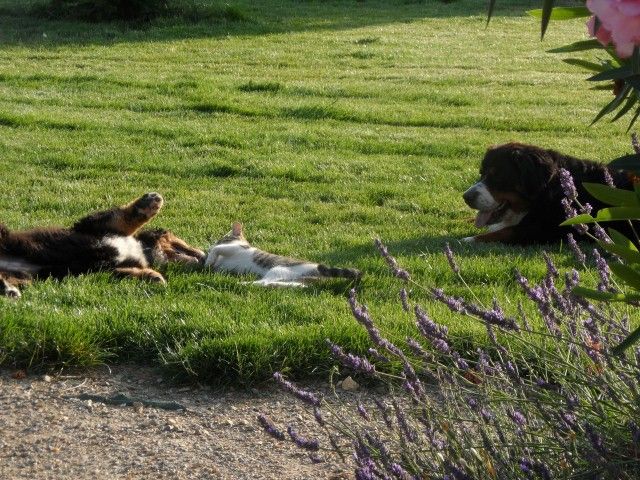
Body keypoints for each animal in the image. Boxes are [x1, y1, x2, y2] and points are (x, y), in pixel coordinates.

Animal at [0, 191, 204, 296]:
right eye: (179, 241)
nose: (203, 255)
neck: (142, 249)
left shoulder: (109, 269)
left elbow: (130, 271)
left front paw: (154, 276)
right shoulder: (95, 225)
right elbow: (125, 217)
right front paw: (149, 203)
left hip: (26, 277)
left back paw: (8, 289)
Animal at [208, 223, 362, 286]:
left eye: (221, 239)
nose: (212, 244)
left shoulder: (235, 248)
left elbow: (218, 250)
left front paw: (209, 258)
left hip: (278, 269)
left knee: (263, 282)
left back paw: (243, 283)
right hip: (297, 280)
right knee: (293, 285)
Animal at [462, 143, 636, 246]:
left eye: (497, 176)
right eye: (481, 173)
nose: (466, 197)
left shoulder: (543, 229)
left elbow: (503, 232)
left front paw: (468, 240)